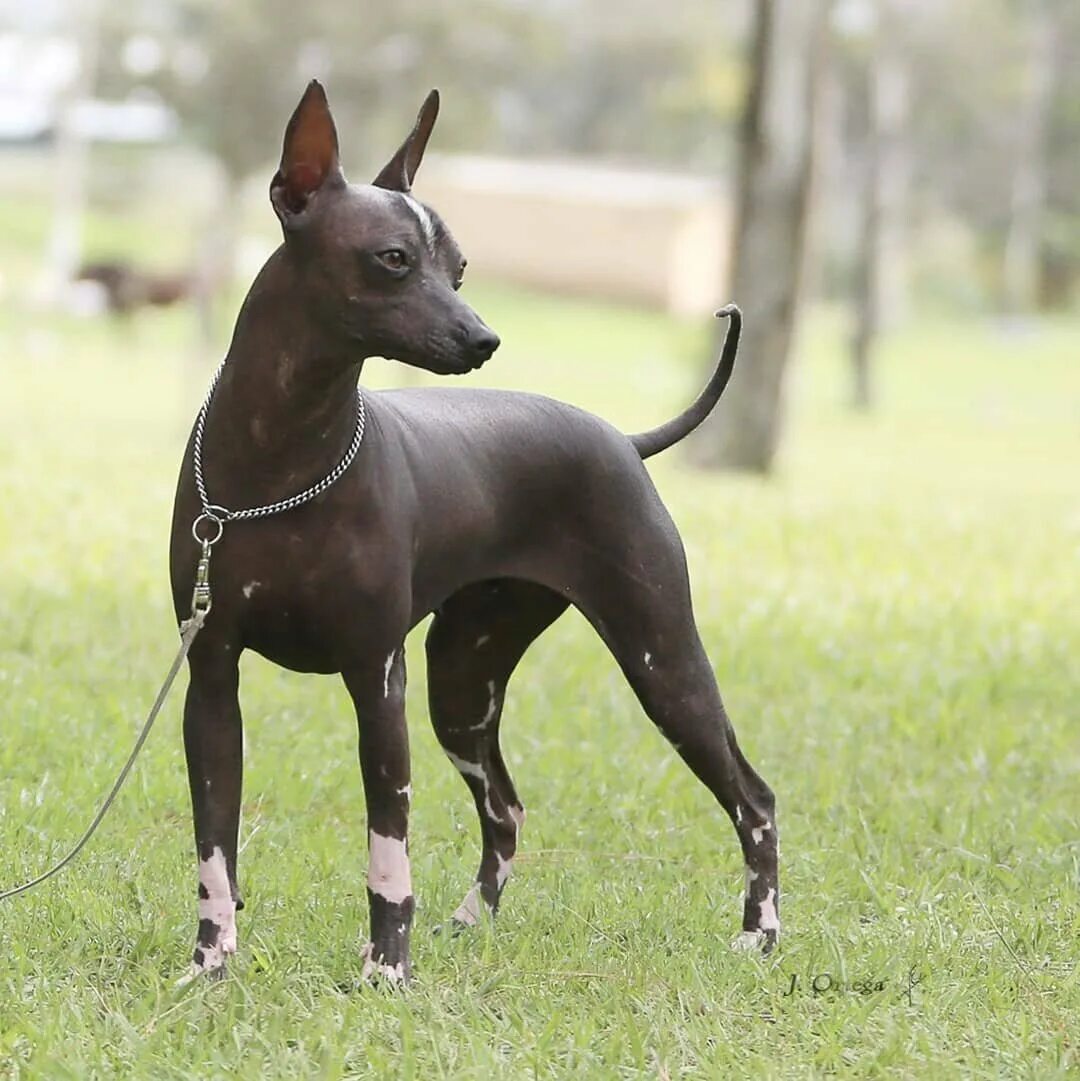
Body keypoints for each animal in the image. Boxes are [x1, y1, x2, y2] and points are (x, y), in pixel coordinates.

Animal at [166, 79, 778, 985]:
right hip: (464, 680)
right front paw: (211, 965)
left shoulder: (375, 679)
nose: (484, 337)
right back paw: (468, 919)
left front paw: (387, 971)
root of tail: (621, 439)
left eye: (458, 269)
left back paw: (760, 933)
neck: (282, 455)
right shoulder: (211, 680)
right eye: (393, 258)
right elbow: (216, 845)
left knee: (752, 793)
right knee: (506, 805)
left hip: (659, 656)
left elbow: (388, 849)